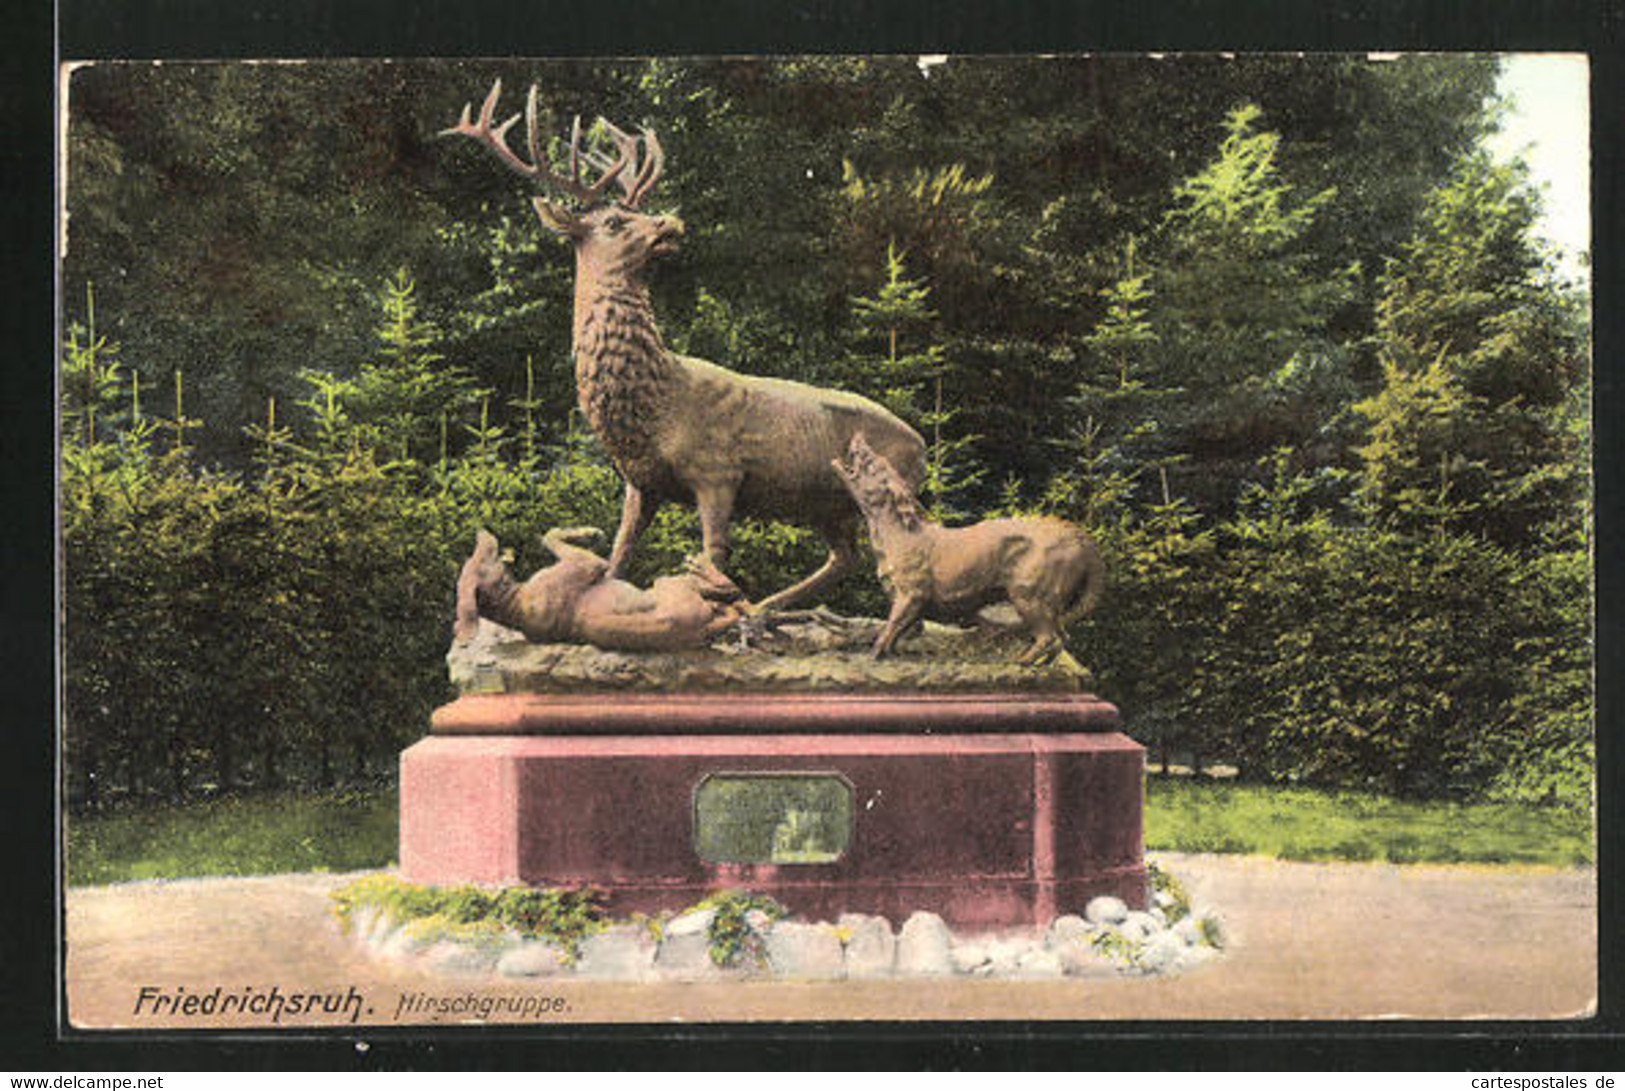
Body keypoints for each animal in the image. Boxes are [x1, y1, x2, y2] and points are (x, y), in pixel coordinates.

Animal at [445, 83, 929, 614]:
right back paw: (766, 608)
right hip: (825, 504)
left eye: (637, 213)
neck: (653, 406)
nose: (670, 222)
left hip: (880, 492)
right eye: (614, 220)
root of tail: (923, 447)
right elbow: (618, 555)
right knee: (846, 557)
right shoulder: (640, 483)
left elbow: (711, 554)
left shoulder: (718, 471)